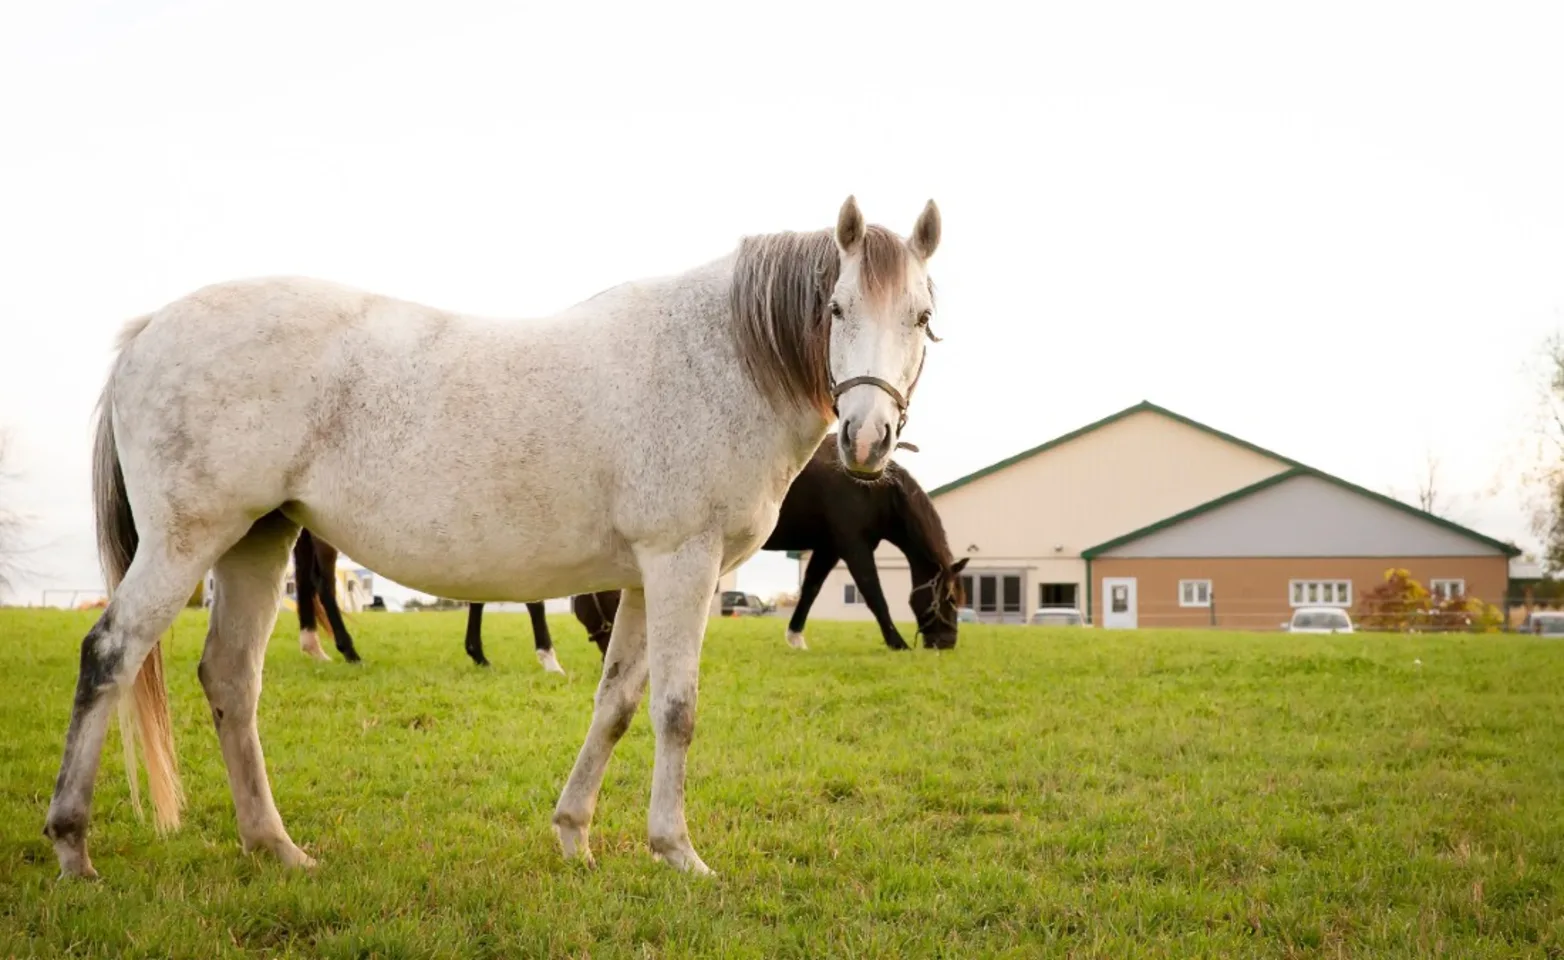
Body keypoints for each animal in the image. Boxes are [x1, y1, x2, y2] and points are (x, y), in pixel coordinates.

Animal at [43, 195, 945, 881]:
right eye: (835, 308)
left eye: (923, 317)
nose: (866, 439)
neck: (719, 357)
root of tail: (152, 328)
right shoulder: (682, 563)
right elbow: (675, 708)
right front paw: (677, 852)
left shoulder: (646, 577)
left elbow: (616, 704)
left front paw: (575, 834)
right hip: (186, 541)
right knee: (109, 655)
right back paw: (73, 847)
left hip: (257, 543)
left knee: (231, 679)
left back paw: (276, 848)